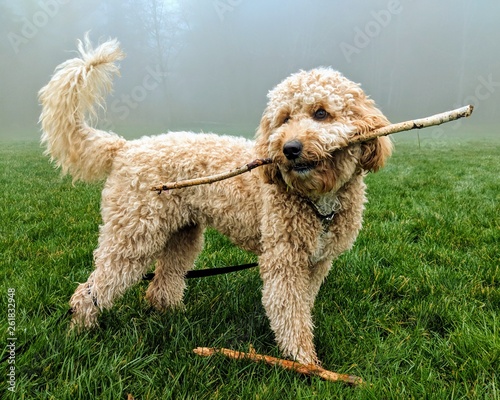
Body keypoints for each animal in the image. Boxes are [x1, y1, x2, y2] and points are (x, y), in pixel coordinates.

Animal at [38, 38, 390, 366]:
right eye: (284, 119)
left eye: (321, 113)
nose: (289, 148)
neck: (318, 201)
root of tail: (124, 147)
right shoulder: (283, 260)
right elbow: (289, 312)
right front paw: (303, 362)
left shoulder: (316, 261)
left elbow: (303, 305)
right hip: (134, 235)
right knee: (91, 289)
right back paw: (80, 334)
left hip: (182, 234)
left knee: (162, 283)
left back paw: (172, 318)